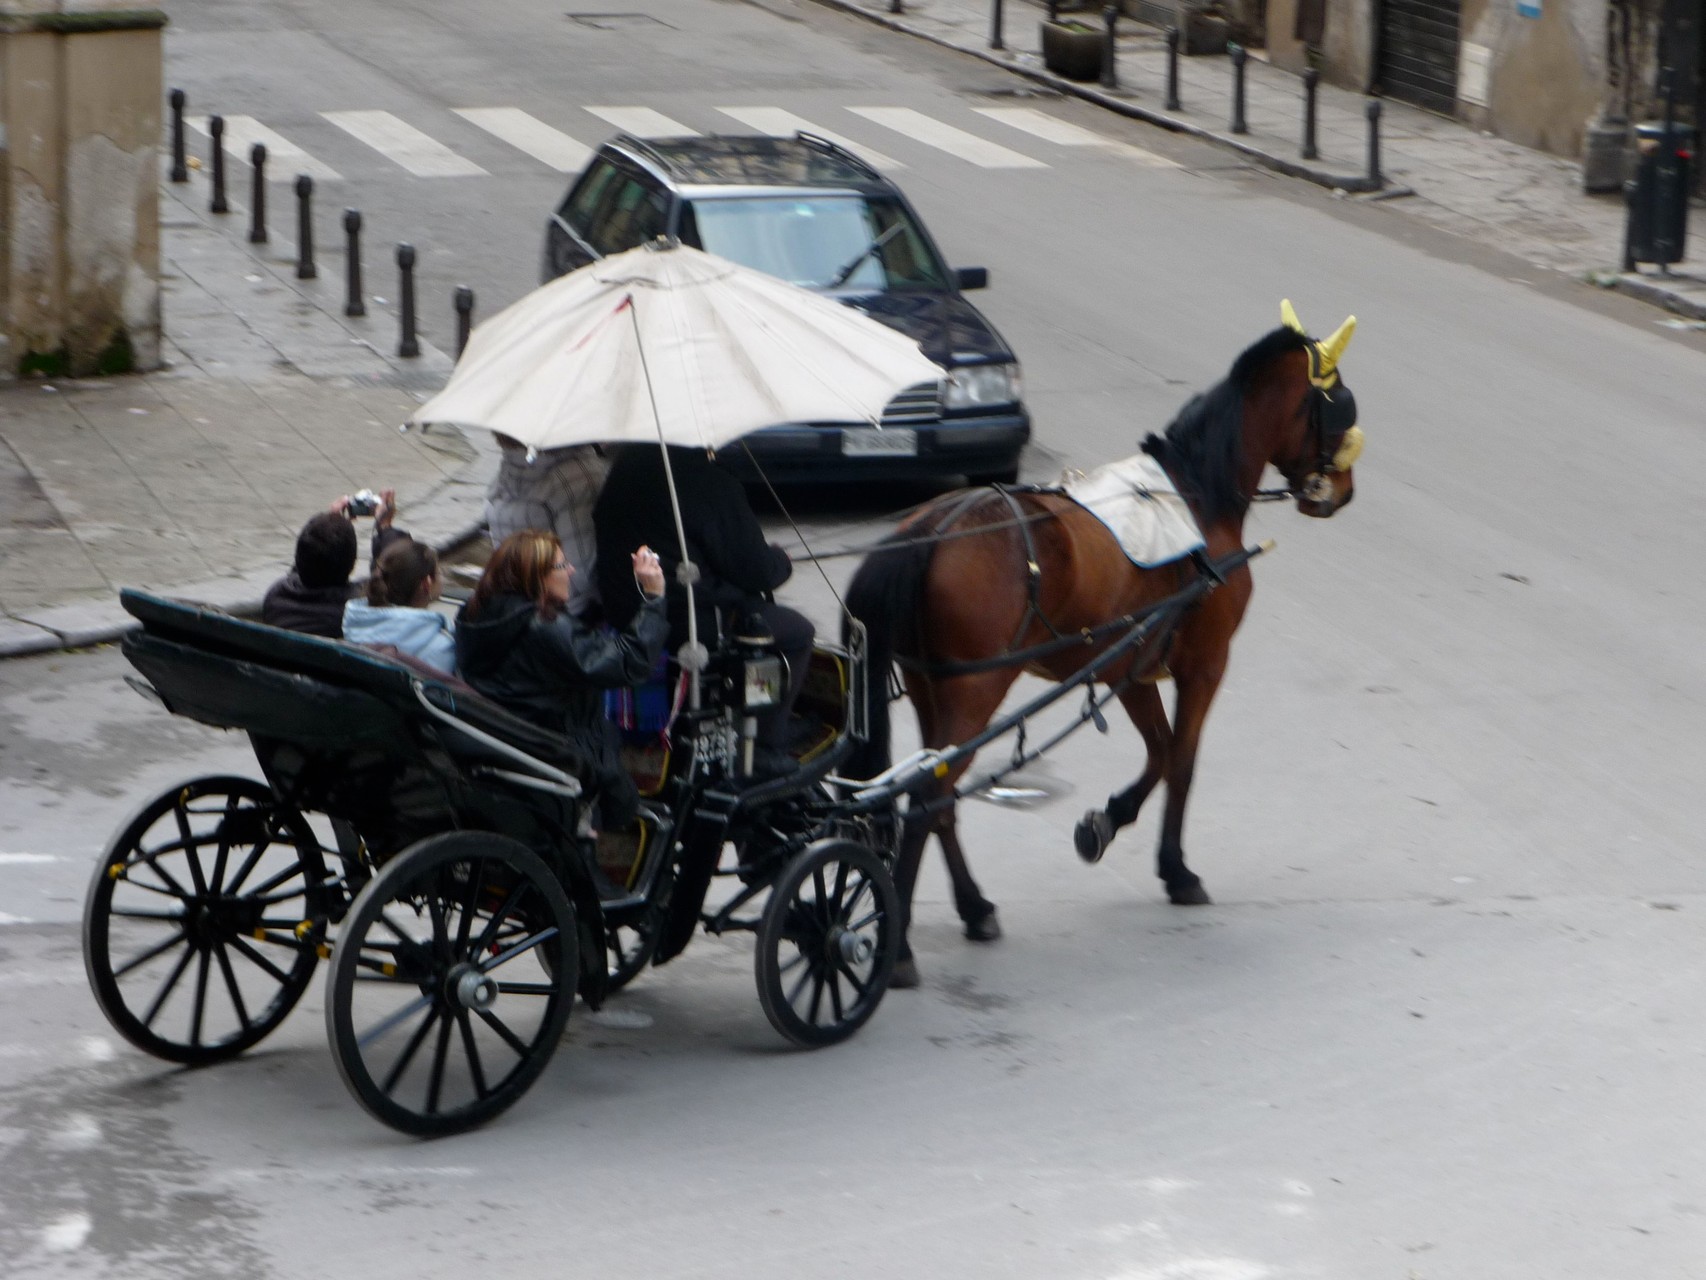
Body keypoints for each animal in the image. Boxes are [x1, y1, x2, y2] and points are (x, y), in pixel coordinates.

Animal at [846, 305, 1364, 989]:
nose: (1343, 491)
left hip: (933, 689)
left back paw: (974, 907)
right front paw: (1176, 868)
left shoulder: (1133, 668)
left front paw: (1106, 822)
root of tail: (932, 527)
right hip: (976, 690)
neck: (1196, 498)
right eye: (1340, 404)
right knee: (929, 797)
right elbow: (1183, 761)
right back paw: (900, 943)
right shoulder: (1205, 664)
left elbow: (1160, 754)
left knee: (939, 800)